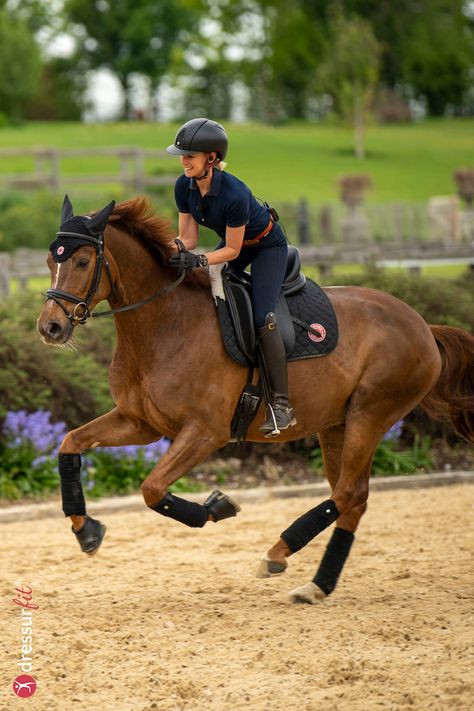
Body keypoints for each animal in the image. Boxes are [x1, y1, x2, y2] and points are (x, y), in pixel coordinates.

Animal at [37, 197, 474, 604]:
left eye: (81, 260)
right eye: (49, 259)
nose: (50, 327)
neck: (164, 324)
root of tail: (422, 325)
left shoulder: (204, 432)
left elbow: (152, 488)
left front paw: (218, 507)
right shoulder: (139, 423)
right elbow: (70, 444)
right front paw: (85, 529)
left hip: (371, 414)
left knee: (348, 493)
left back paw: (278, 552)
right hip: (338, 425)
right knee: (353, 498)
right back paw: (317, 585)